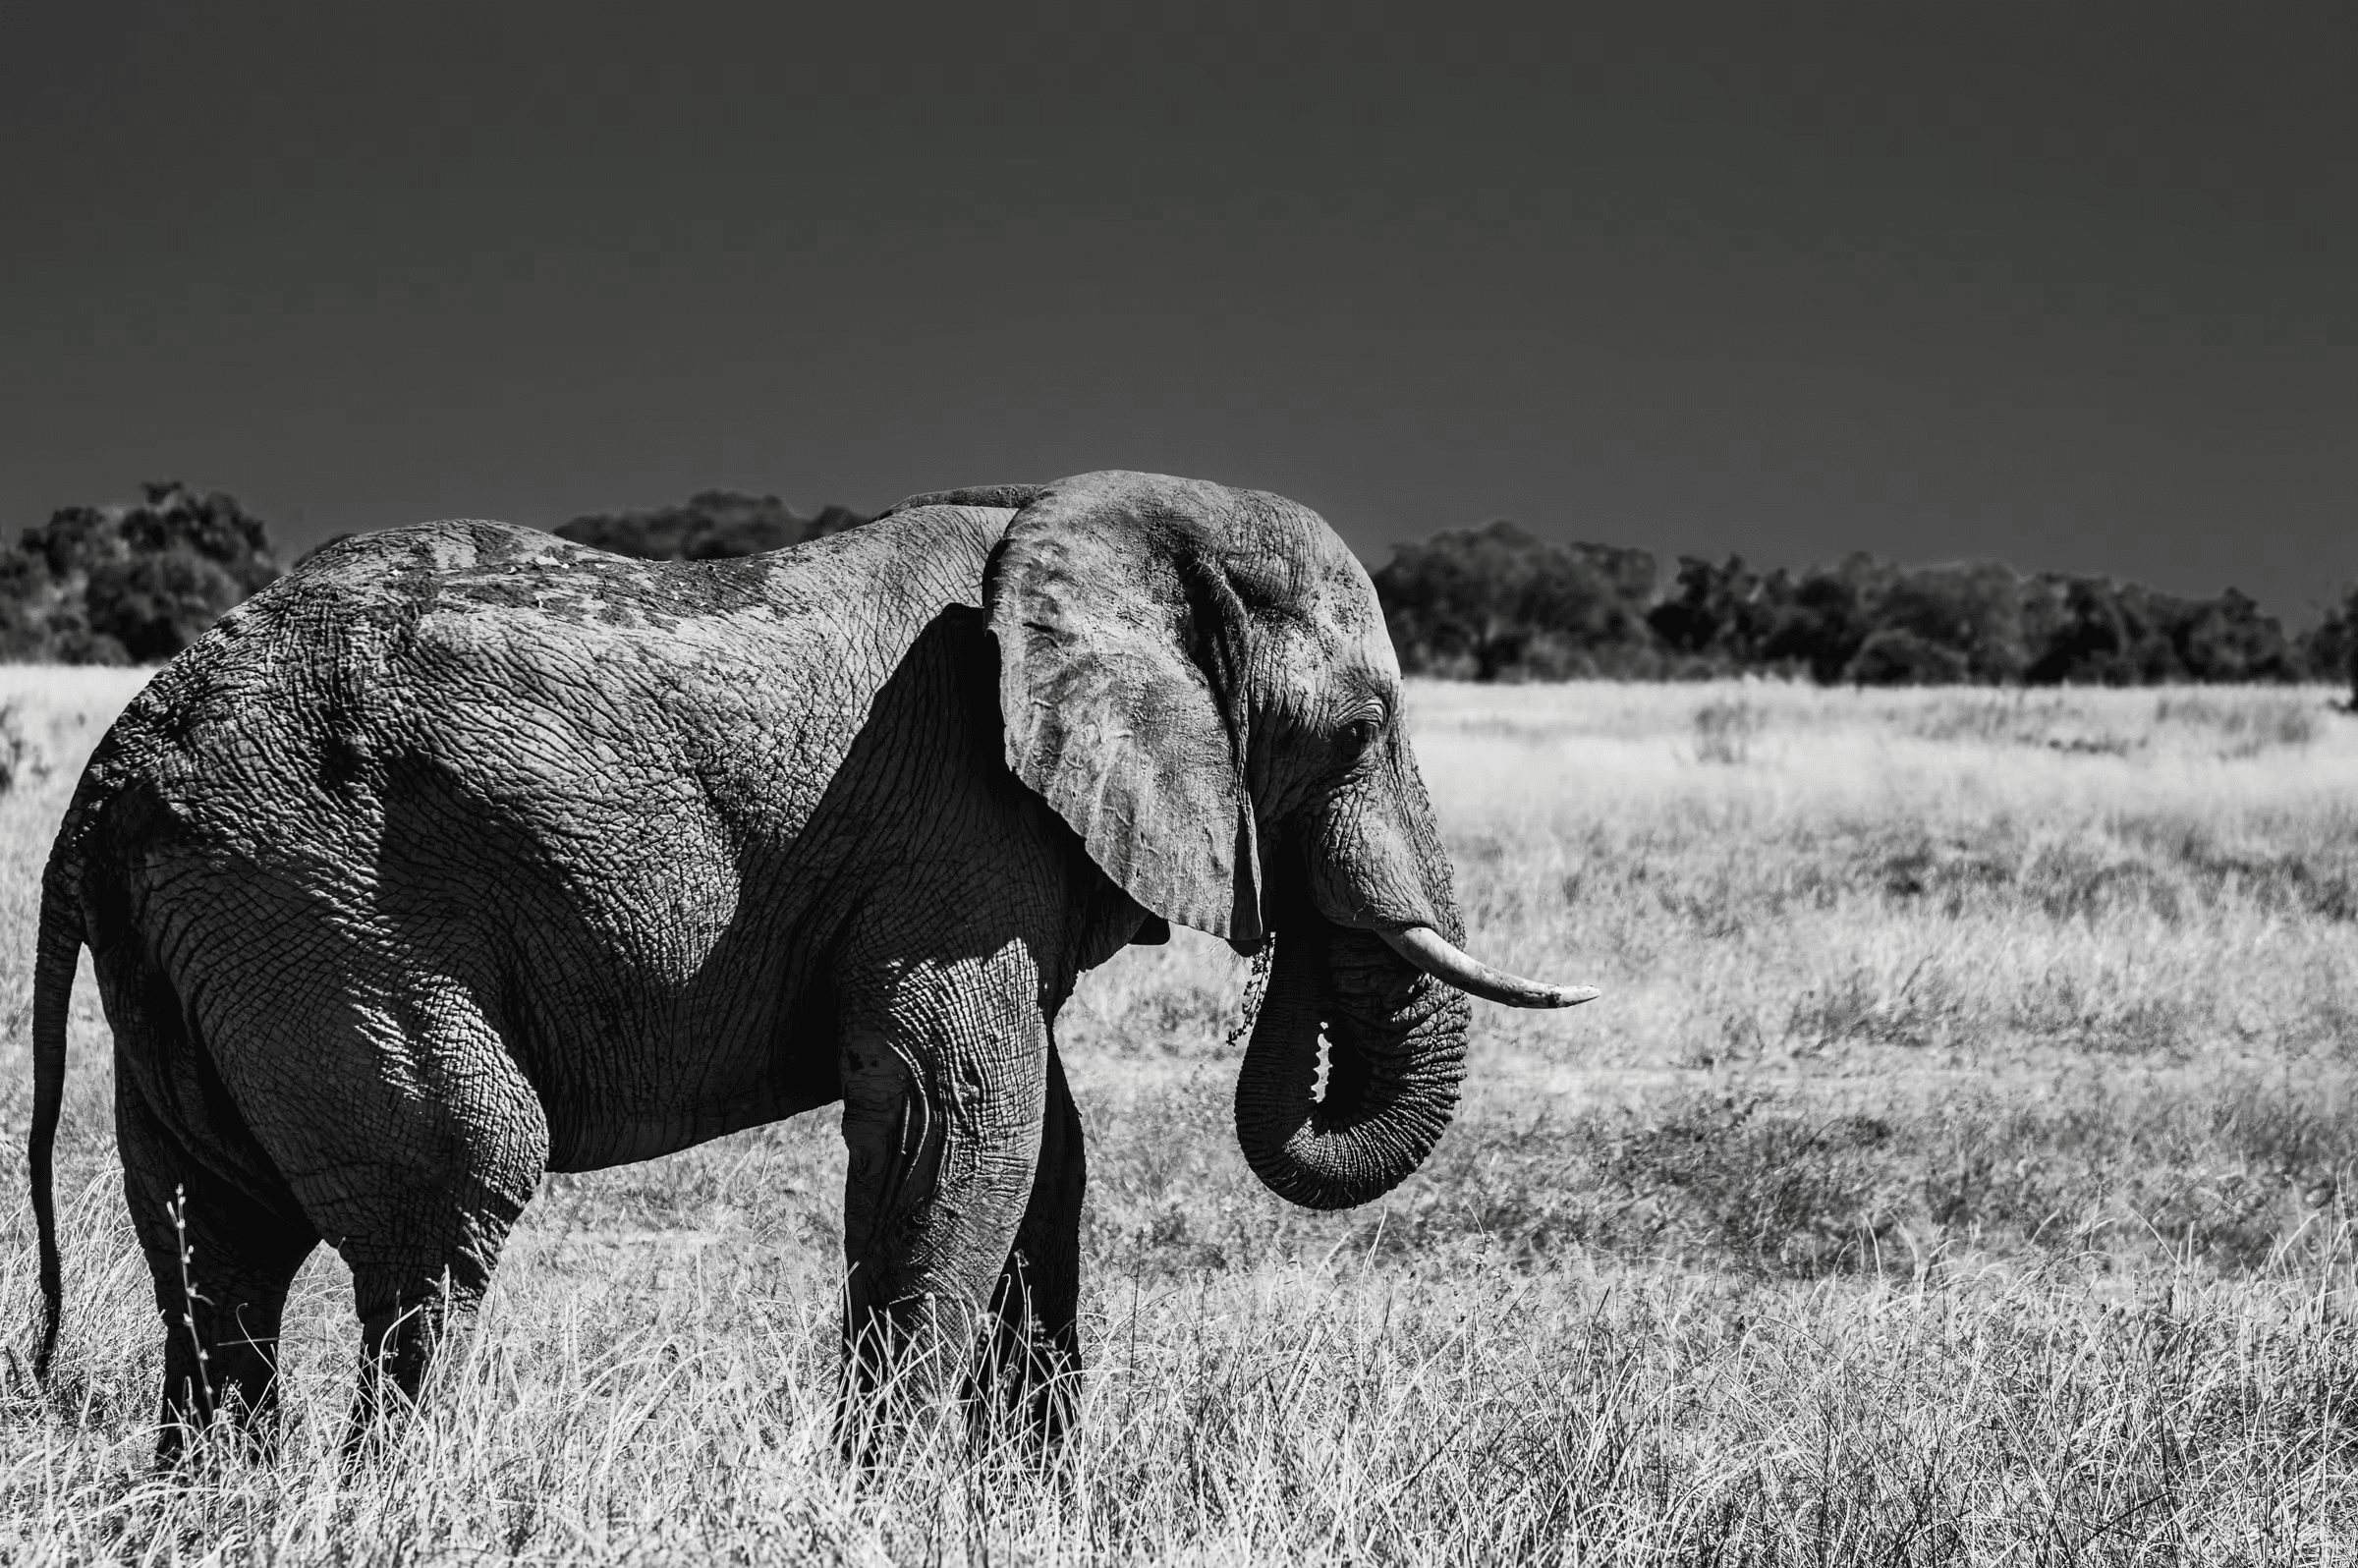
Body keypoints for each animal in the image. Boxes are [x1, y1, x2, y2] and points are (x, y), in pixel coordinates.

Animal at [25, 469, 1593, 1460]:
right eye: (1356, 732)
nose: (1286, 946)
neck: (1088, 515)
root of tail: (106, 776)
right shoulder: (956, 826)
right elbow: (963, 1119)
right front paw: (882, 1497)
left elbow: (1047, 1151)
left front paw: (1020, 1504)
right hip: (313, 900)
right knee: (452, 1188)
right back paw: (398, 1502)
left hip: (213, 937)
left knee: (220, 1240)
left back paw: (222, 1505)